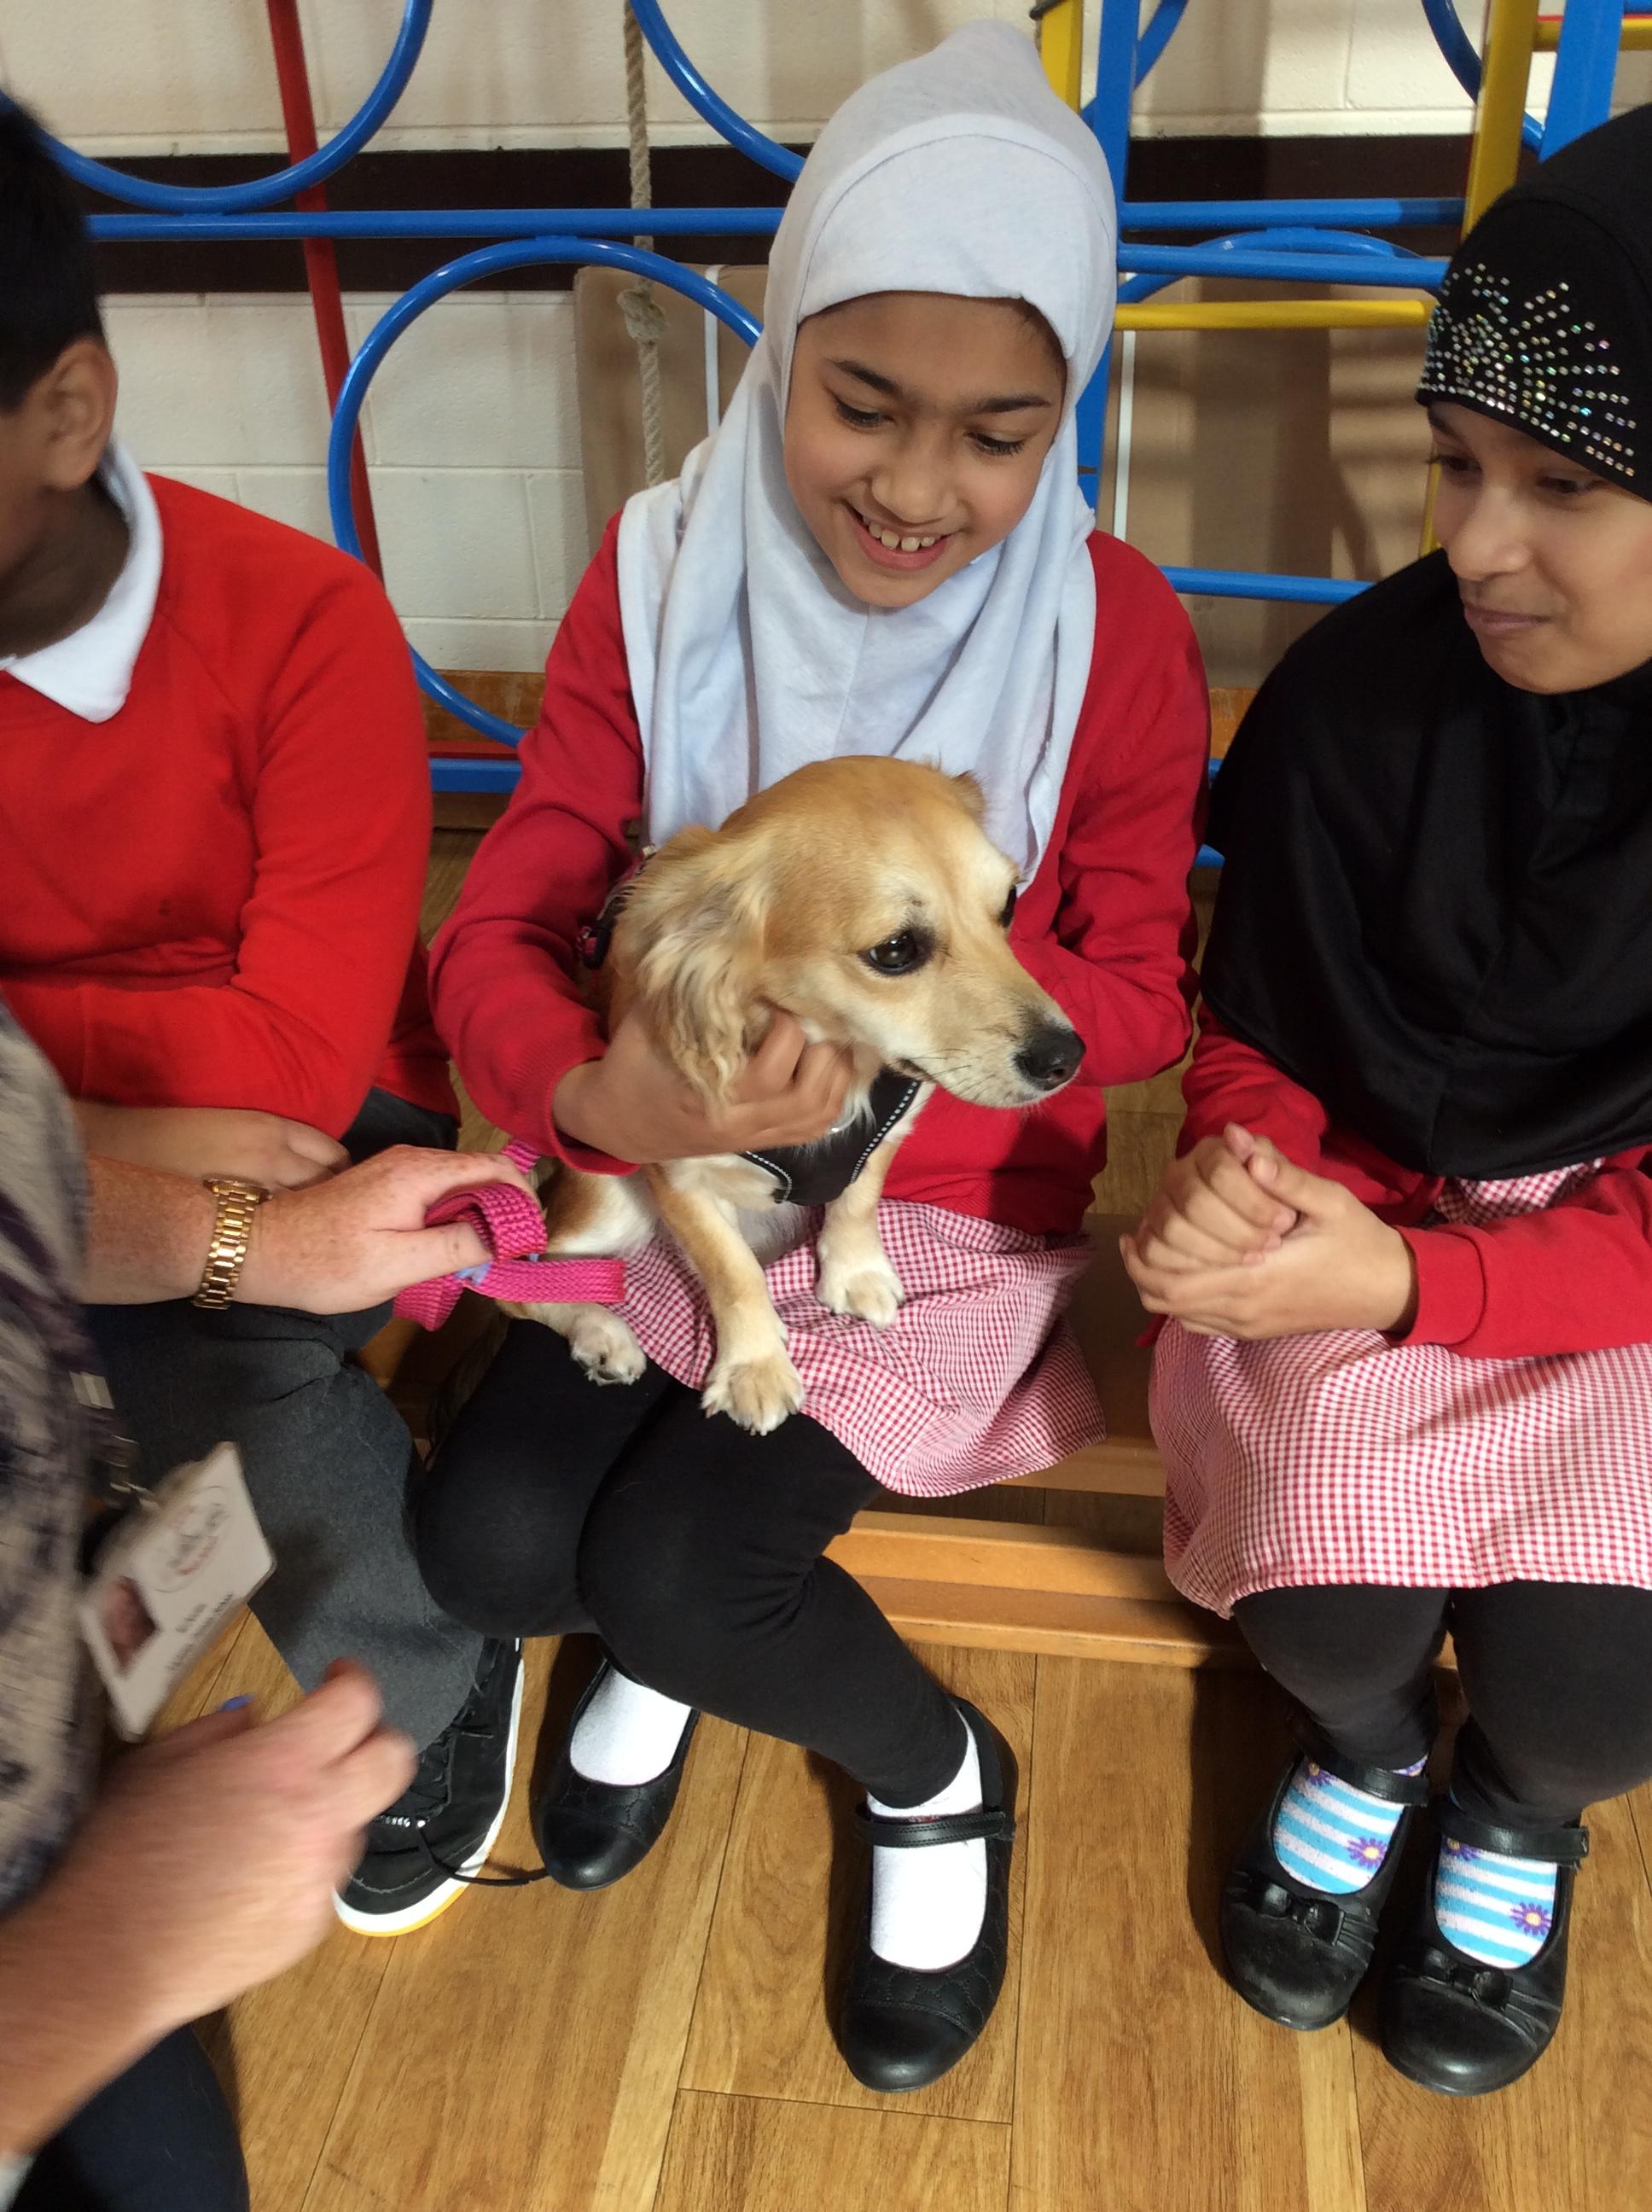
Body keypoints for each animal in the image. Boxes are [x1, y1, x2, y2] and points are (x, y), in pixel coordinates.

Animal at [507, 756, 1085, 1433]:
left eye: (1010, 904)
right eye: (895, 950)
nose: (1067, 1059)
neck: (842, 1056)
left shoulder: (889, 1126)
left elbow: (857, 1201)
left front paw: (855, 1272)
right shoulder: (677, 1175)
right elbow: (732, 1272)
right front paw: (754, 1367)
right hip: (612, 1204)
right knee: (516, 1281)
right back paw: (602, 1333)